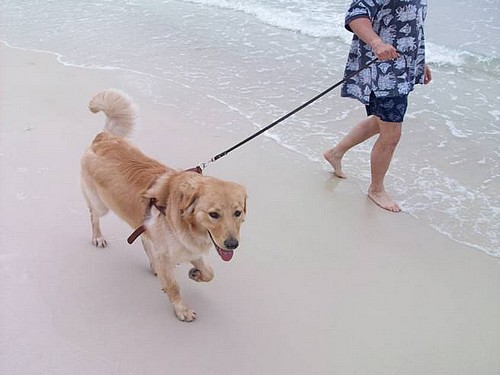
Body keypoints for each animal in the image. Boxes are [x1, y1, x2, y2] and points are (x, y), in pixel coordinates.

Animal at [79, 89, 247, 324]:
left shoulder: (189, 247)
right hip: (100, 203)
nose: (232, 244)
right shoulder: (173, 251)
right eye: (214, 214)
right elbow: (174, 286)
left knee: (144, 240)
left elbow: (209, 272)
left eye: (237, 212)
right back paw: (98, 237)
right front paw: (181, 309)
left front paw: (196, 274)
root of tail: (104, 137)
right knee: (94, 215)